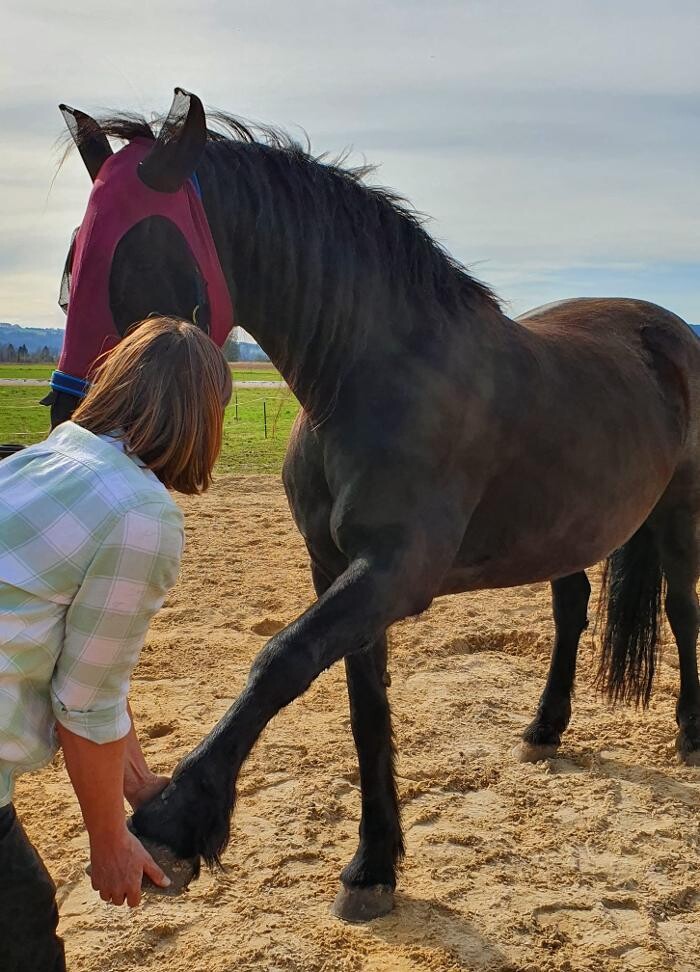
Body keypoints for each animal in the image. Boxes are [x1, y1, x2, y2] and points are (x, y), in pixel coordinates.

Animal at [54, 89, 700, 920]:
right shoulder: (338, 570)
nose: (71, 417)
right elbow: (363, 706)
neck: (377, 378)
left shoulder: (395, 573)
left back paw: (690, 729)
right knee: (572, 609)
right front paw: (373, 863)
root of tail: (667, 330)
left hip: (678, 513)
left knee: (681, 607)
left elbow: (280, 662)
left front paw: (177, 821)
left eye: (132, 254)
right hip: (568, 528)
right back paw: (545, 726)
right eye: (71, 261)